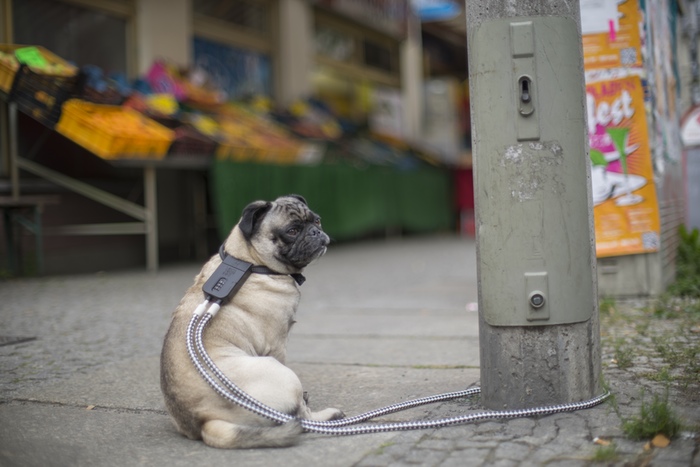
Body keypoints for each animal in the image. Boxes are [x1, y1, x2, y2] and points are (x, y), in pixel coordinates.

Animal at [159, 195, 344, 450]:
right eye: (292, 231)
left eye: (317, 220)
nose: (315, 231)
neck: (249, 262)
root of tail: (205, 422)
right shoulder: (277, 345)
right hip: (281, 374)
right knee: (300, 417)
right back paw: (330, 415)